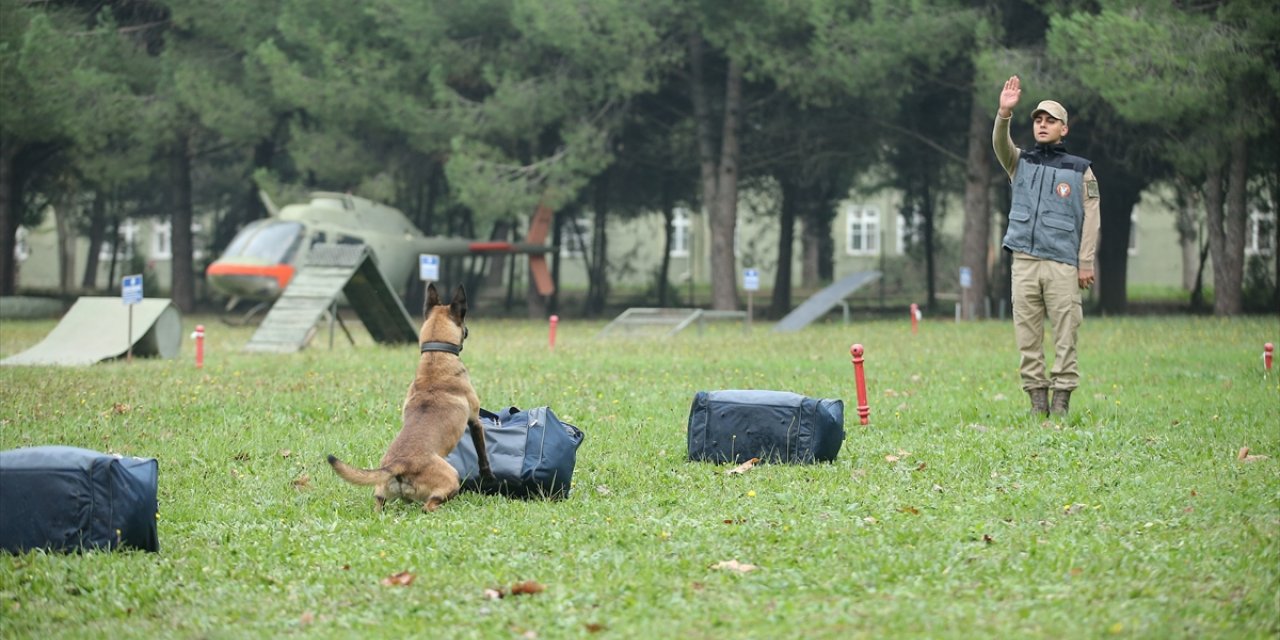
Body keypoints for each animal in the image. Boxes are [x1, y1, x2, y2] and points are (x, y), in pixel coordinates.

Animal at [327, 282, 491, 512]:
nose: (467, 331)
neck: (435, 357)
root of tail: (399, 464)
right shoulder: (475, 421)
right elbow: (483, 455)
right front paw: (489, 475)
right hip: (451, 478)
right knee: (429, 506)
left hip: (381, 492)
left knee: (379, 502)